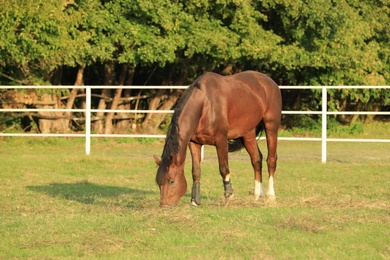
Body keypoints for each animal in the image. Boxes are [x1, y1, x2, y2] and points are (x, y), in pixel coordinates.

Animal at [154, 70, 282, 206]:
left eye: (172, 181)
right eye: (158, 183)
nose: (164, 205)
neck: (205, 105)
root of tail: (269, 81)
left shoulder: (221, 139)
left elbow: (223, 168)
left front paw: (229, 195)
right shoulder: (194, 143)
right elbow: (196, 170)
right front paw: (195, 201)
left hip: (271, 127)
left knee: (271, 160)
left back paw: (270, 196)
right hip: (248, 133)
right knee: (256, 160)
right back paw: (257, 196)